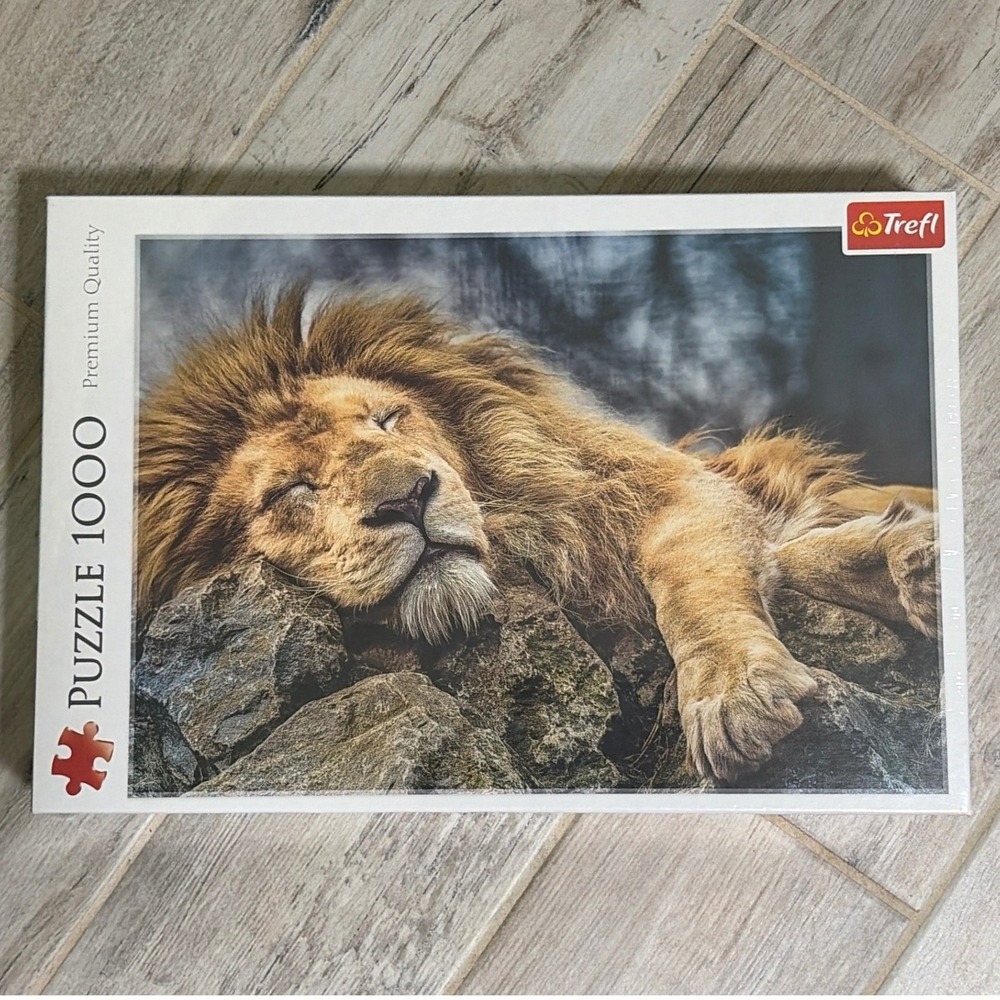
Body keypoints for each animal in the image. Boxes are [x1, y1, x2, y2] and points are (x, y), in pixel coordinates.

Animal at [137, 286, 938, 783]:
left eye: (388, 419)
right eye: (291, 490)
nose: (410, 497)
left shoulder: (670, 488)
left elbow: (694, 579)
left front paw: (734, 693)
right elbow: (791, 553)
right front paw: (898, 561)